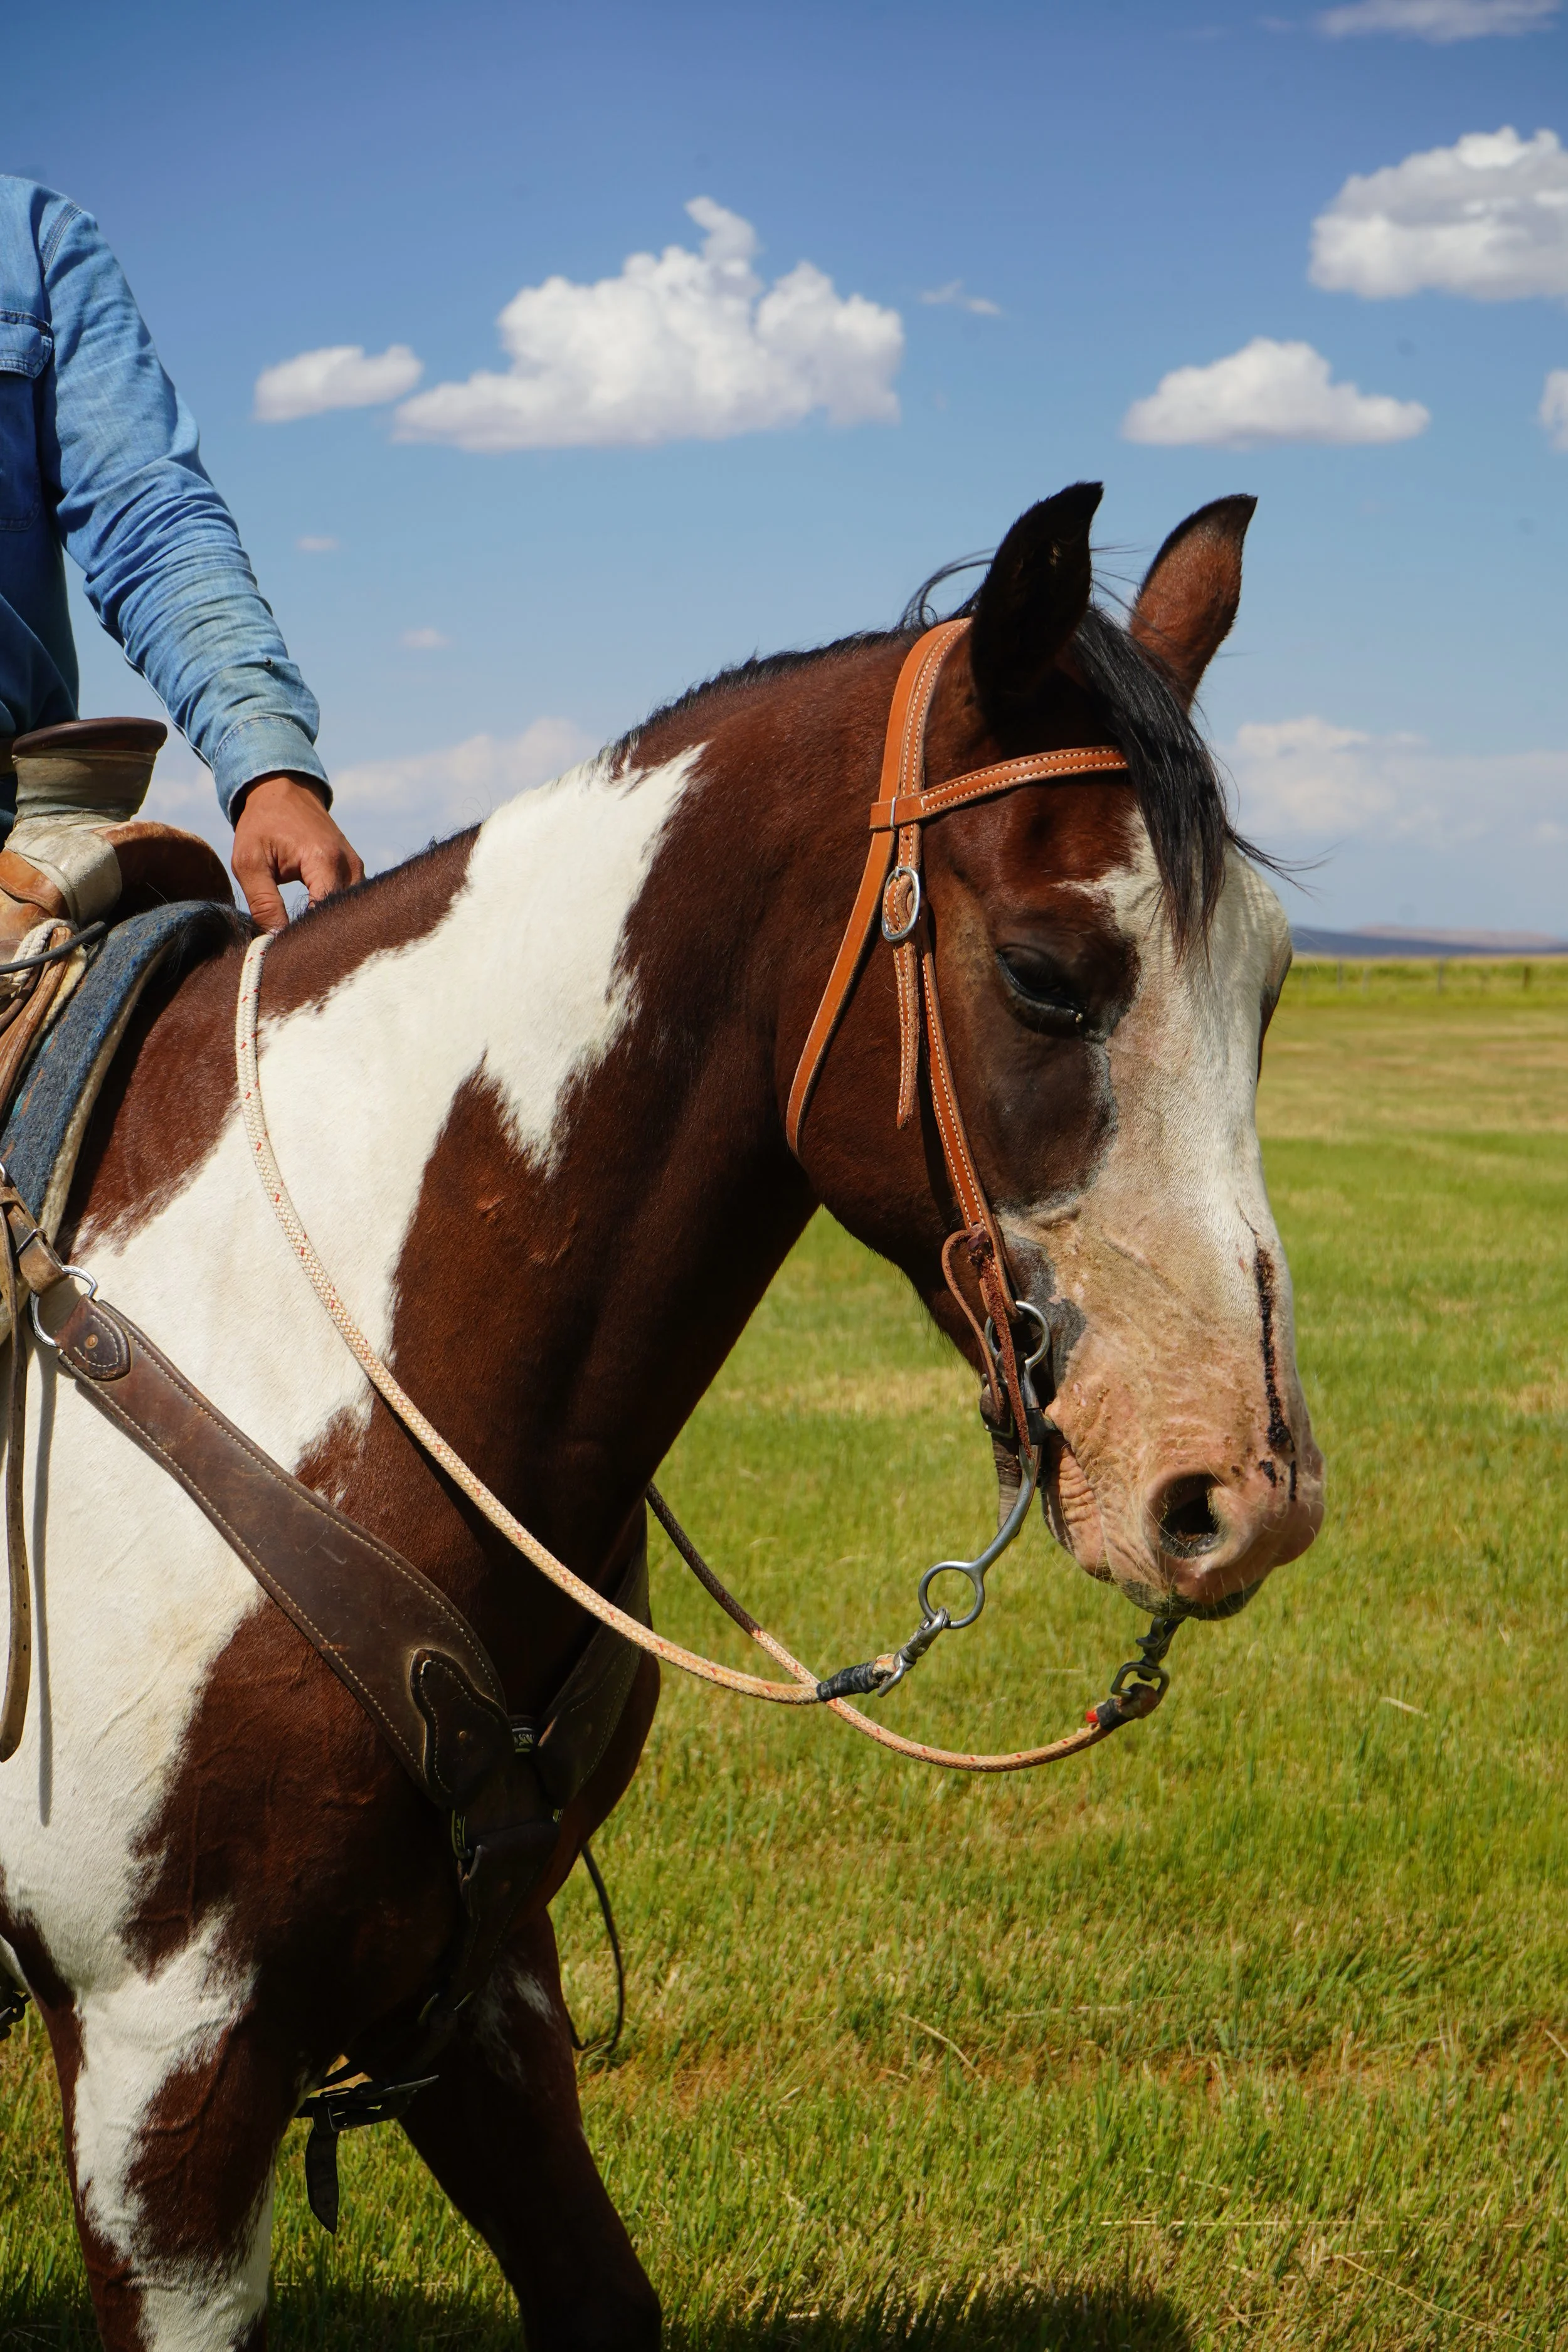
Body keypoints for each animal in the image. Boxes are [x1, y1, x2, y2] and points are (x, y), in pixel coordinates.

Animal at [0, 482, 1322, 2350]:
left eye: (1269, 985)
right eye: (1049, 973)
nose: (1238, 1487)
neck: (290, 1336)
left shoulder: (483, 1986)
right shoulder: (160, 2064)